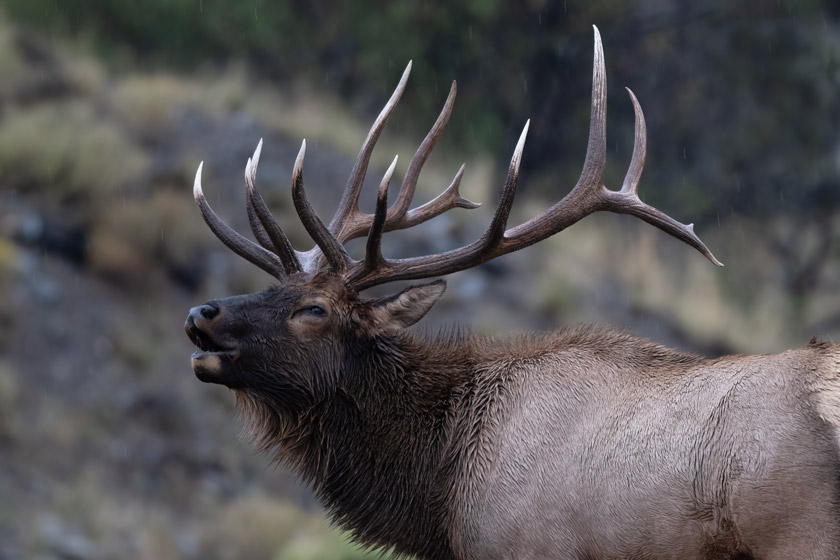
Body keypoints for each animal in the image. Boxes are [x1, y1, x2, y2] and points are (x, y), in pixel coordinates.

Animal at [187, 28, 840, 560]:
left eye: (314, 309)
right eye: (272, 285)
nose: (201, 311)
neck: (443, 499)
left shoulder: (526, 547)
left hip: (799, 532)